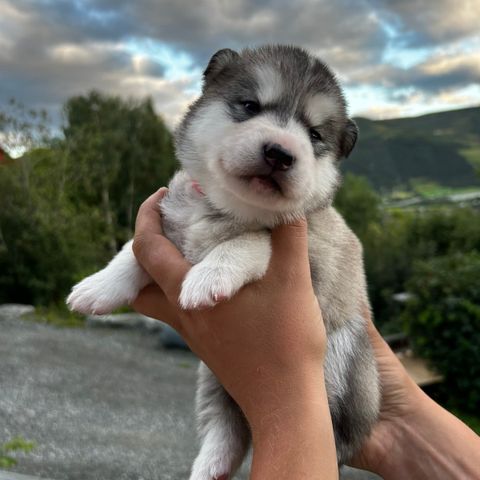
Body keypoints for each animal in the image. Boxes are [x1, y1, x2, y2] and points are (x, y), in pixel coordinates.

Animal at [68, 45, 382, 480]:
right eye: (250, 106)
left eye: (315, 135)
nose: (280, 153)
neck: (224, 207)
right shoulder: (167, 222)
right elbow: (132, 250)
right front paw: (96, 287)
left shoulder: (309, 249)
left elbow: (248, 241)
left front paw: (208, 278)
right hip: (213, 383)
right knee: (226, 431)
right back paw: (208, 467)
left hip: (341, 363)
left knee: (333, 437)